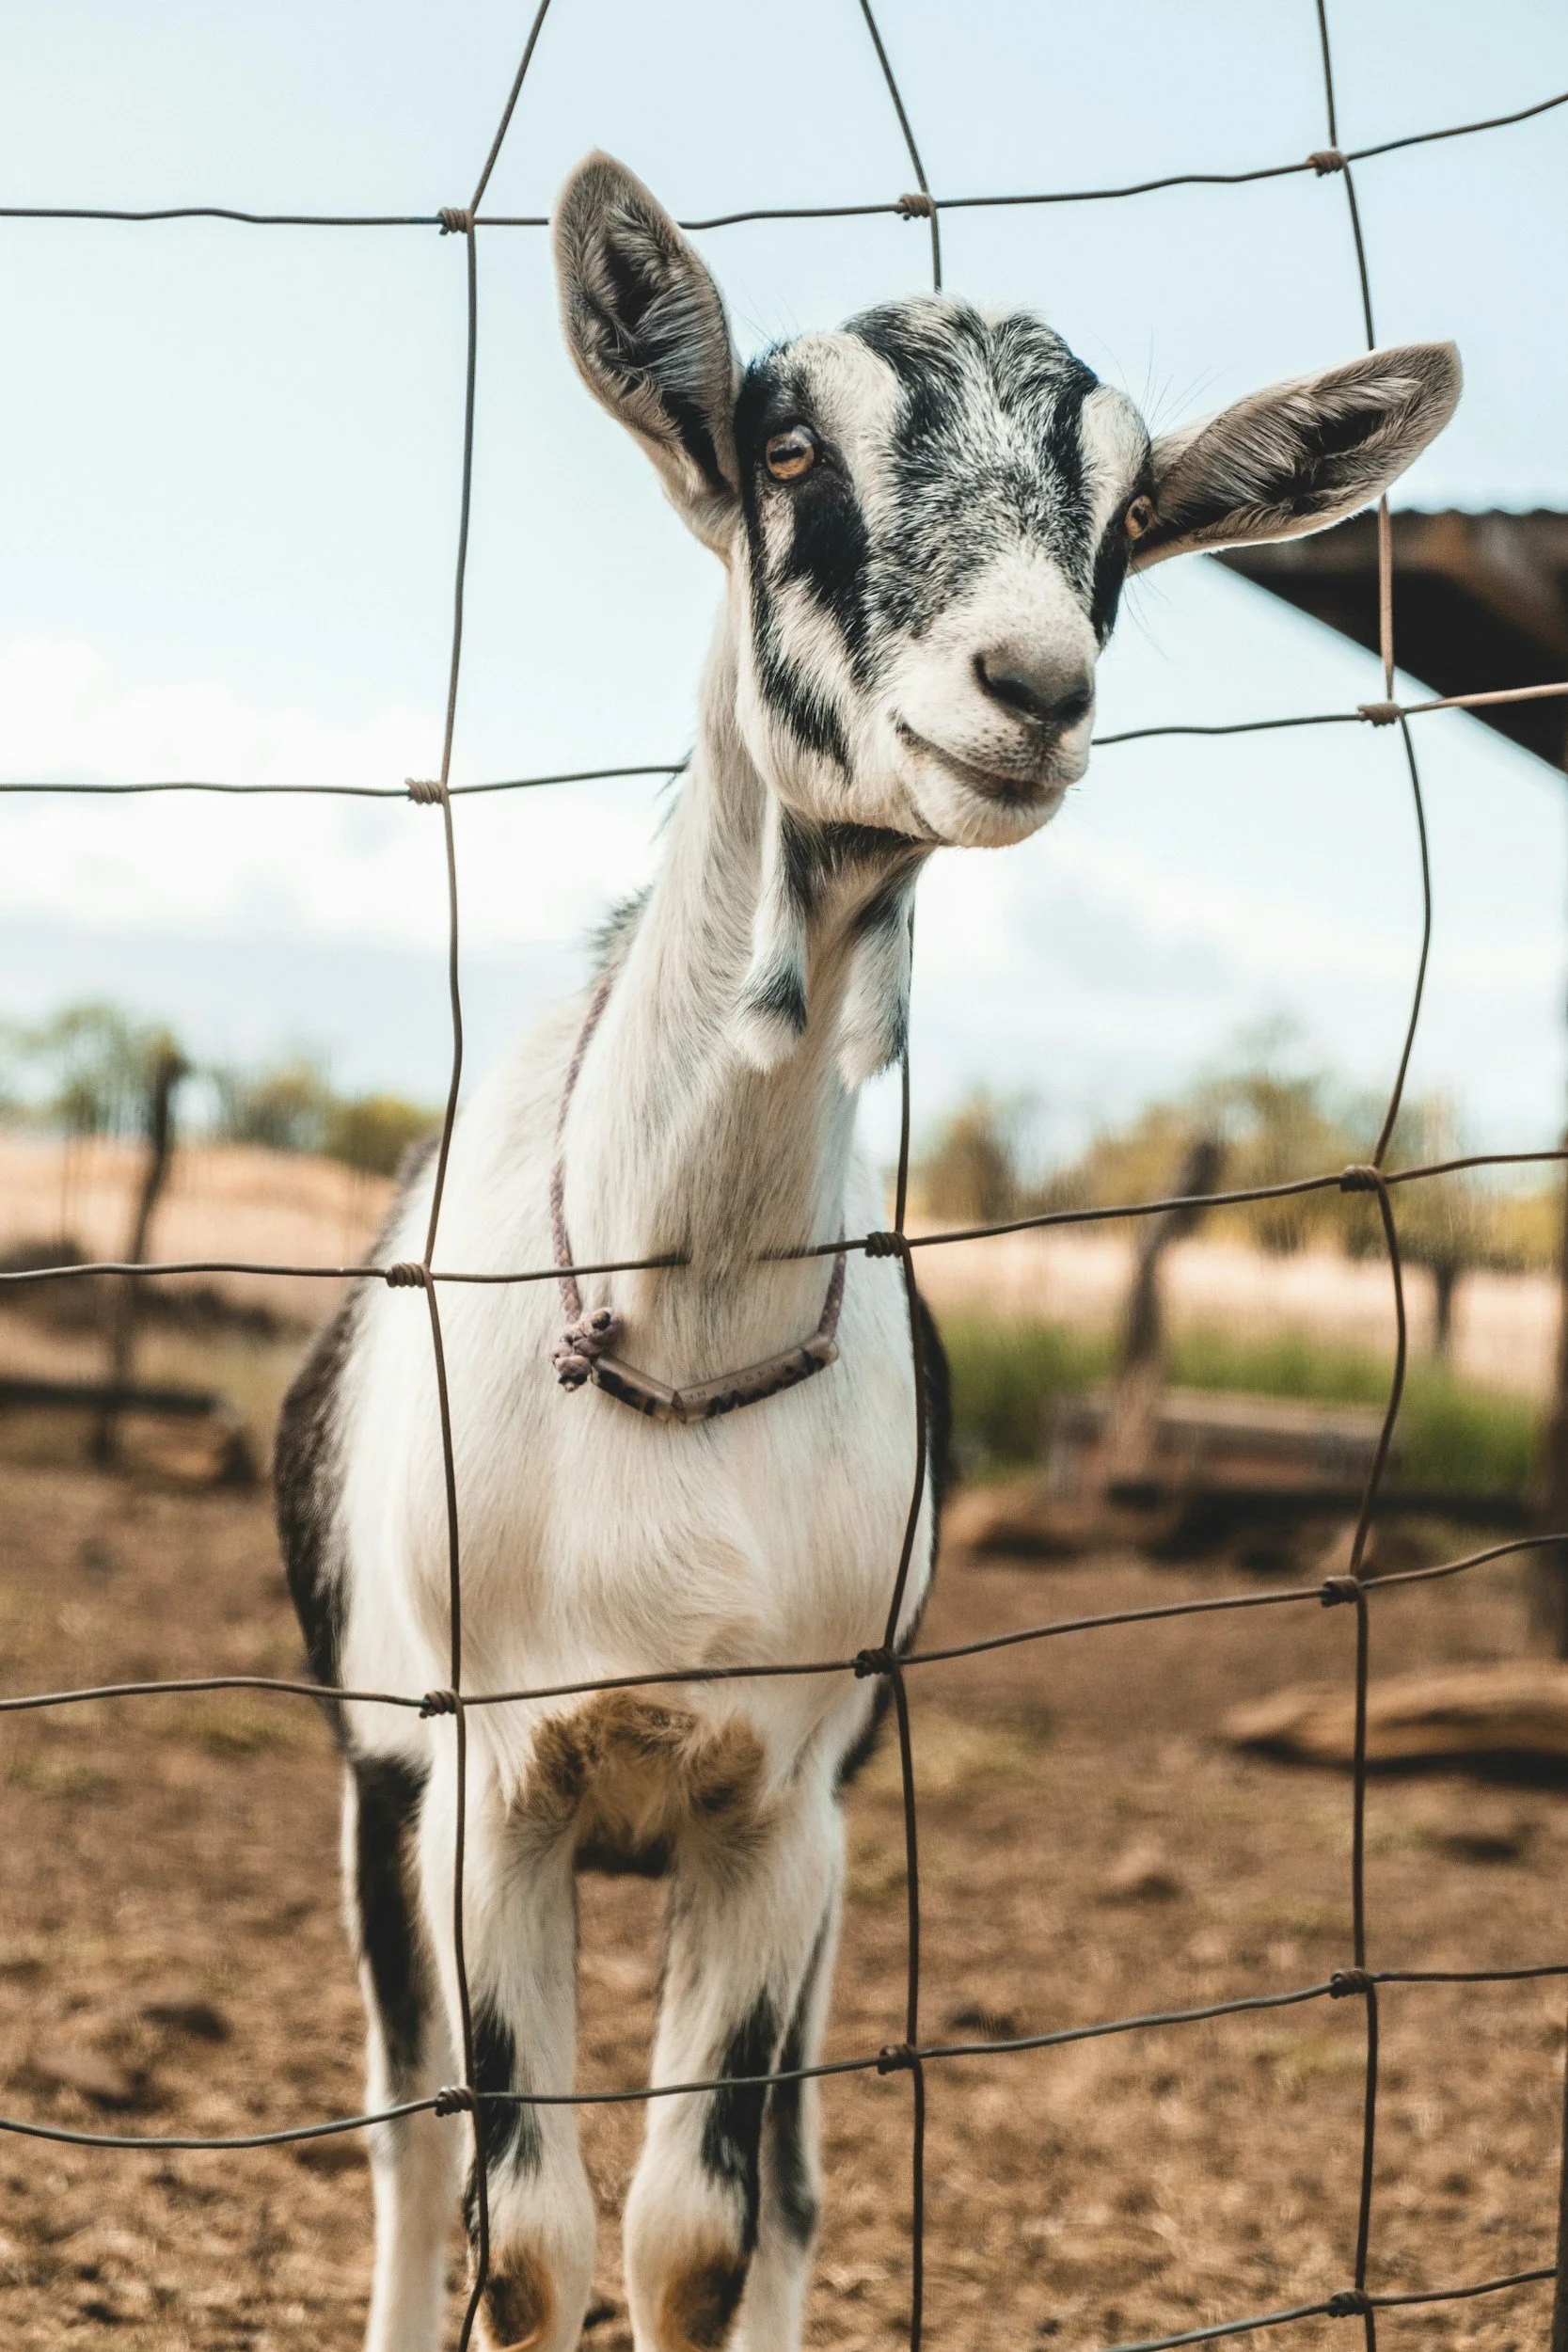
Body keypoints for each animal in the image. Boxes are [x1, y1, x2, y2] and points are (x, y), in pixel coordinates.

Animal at [274, 150, 1459, 2352]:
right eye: (789, 446)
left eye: (1126, 518)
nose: (1031, 692)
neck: (680, 1321)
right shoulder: (485, 1790)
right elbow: (525, 2238)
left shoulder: (785, 1797)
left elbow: (699, 2233)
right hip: (374, 1787)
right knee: (404, 2160)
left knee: (791, 2184)